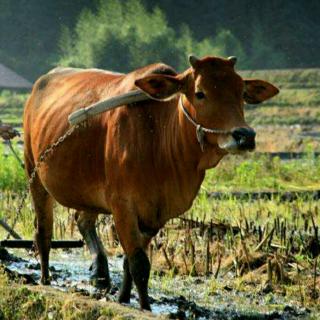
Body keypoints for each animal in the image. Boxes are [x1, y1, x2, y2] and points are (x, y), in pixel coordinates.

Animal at [23, 55, 278, 310]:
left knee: (82, 220)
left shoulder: (155, 215)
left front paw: (124, 297)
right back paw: (45, 279)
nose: (245, 136)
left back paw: (100, 273)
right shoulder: (122, 206)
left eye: (241, 92)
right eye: (200, 93)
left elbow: (130, 262)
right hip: (34, 174)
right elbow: (139, 263)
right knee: (43, 231)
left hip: (89, 192)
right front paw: (145, 306)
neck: (159, 139)